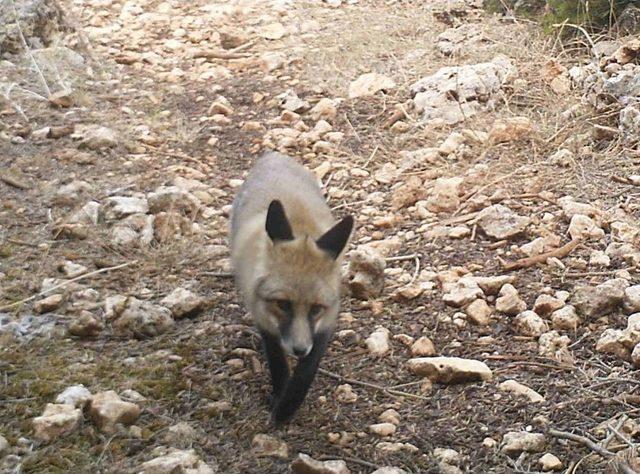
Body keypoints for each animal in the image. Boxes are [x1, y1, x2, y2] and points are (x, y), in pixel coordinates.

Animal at [229, 150, 356, 424]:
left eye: (316, 308)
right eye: (282, 304)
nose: (299, 349)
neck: (300, 228)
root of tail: (273, 155)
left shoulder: (326, 321)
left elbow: (306, 372)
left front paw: (288, 406)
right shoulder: (263, 318)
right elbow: (278, 363)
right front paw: (279, 399)